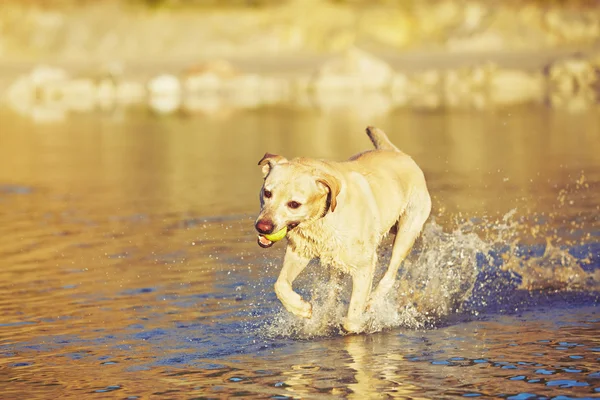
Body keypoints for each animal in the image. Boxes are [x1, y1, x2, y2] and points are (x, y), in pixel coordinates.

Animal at [253, 126, 432, 332]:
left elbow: (352, 319)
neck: (322, 218)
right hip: (335, 260)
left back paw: (373, 301)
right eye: (267, 193)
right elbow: (280, 285)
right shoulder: (300, 250)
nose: (263, 226)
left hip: (407, 231)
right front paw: (302, 308)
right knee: (333, 289)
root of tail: (395, 151)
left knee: (391, 274)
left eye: (294, 204)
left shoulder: (364, 266)